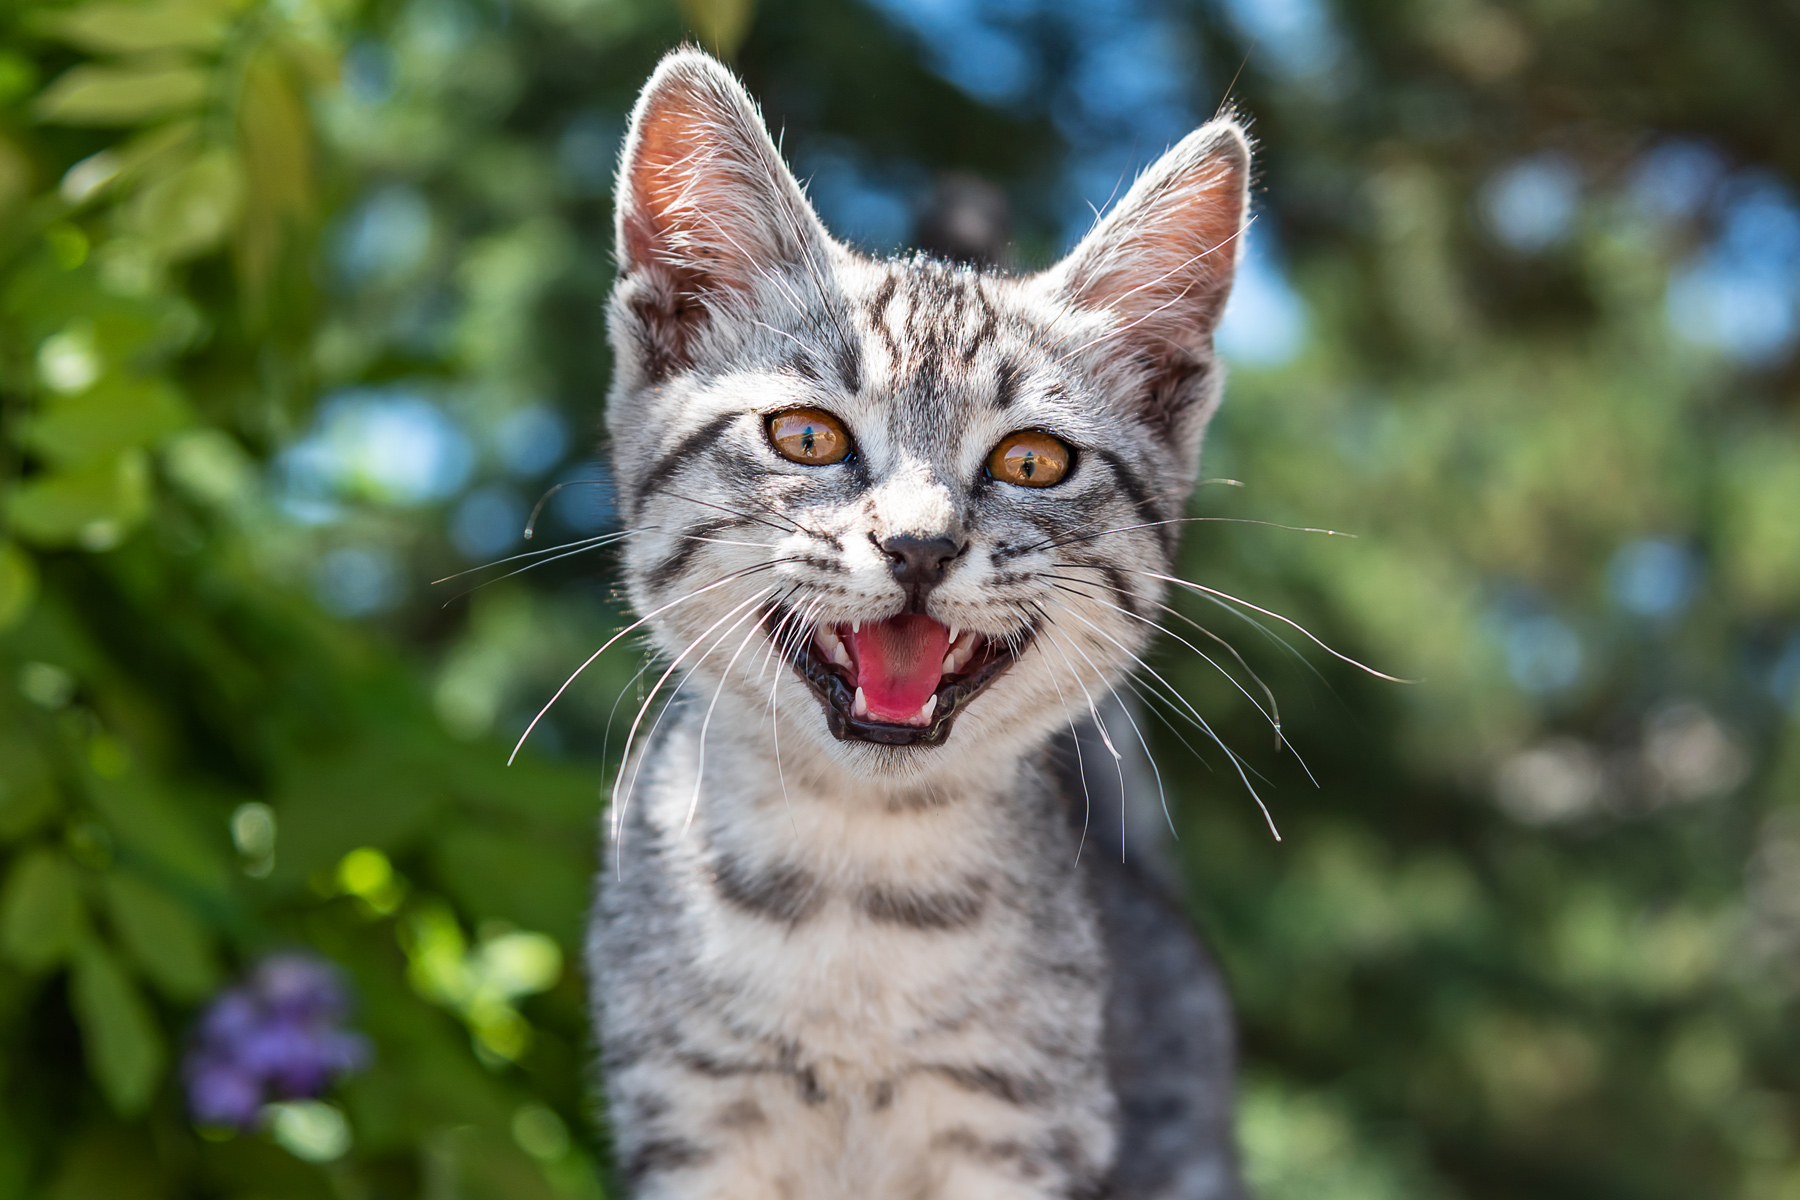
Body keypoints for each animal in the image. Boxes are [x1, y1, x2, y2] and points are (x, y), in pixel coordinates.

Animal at [590, 47, 1252, 1200]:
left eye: (1032, 460)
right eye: (807, 437)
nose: (920, 545)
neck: (855, 880)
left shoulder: (1018, 1130)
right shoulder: (693, 1125)